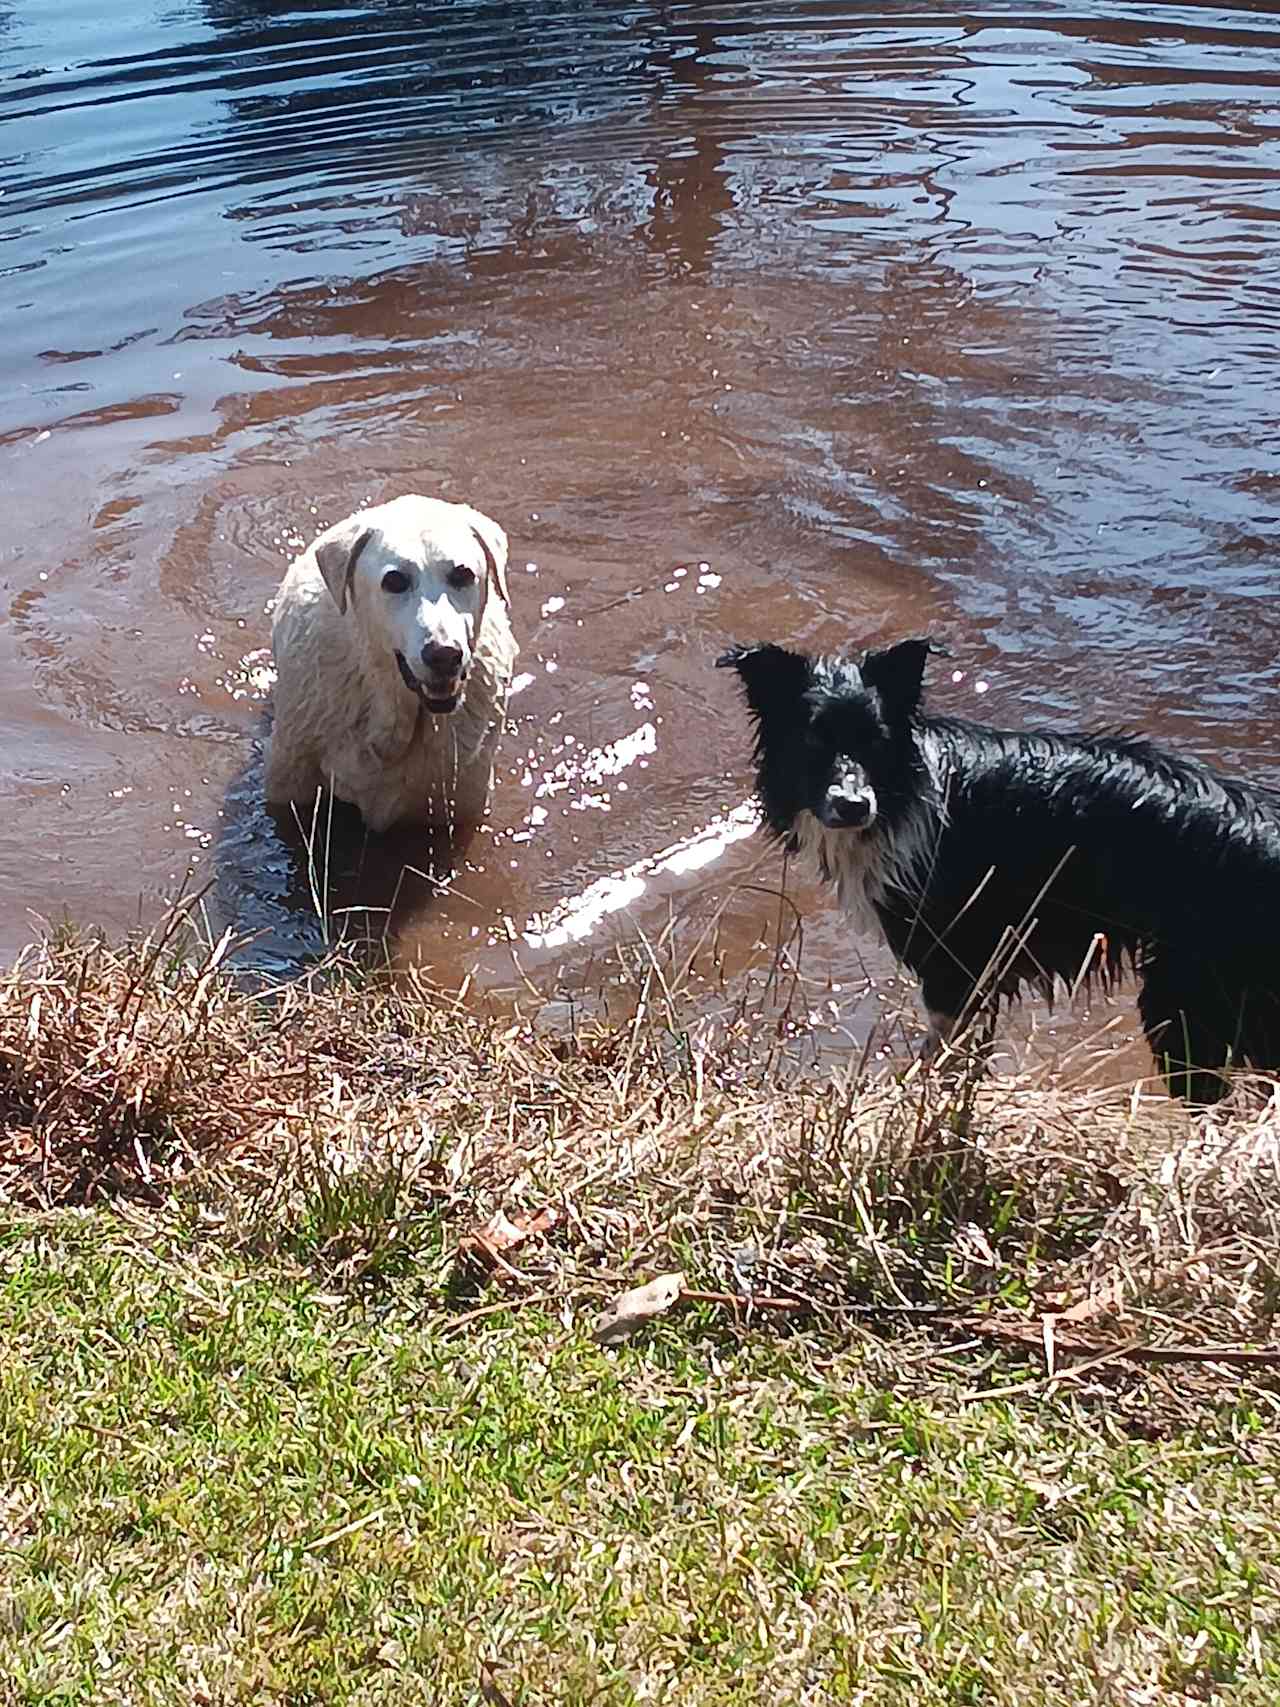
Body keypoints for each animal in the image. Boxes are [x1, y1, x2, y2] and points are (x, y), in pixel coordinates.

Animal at [716, 635, 1280, 1099]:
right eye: (813, 739)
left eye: (876, 739)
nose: (853, 805)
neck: (904, 790)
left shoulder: (954, 964)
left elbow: (943, 1055)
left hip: (1184, 1004)